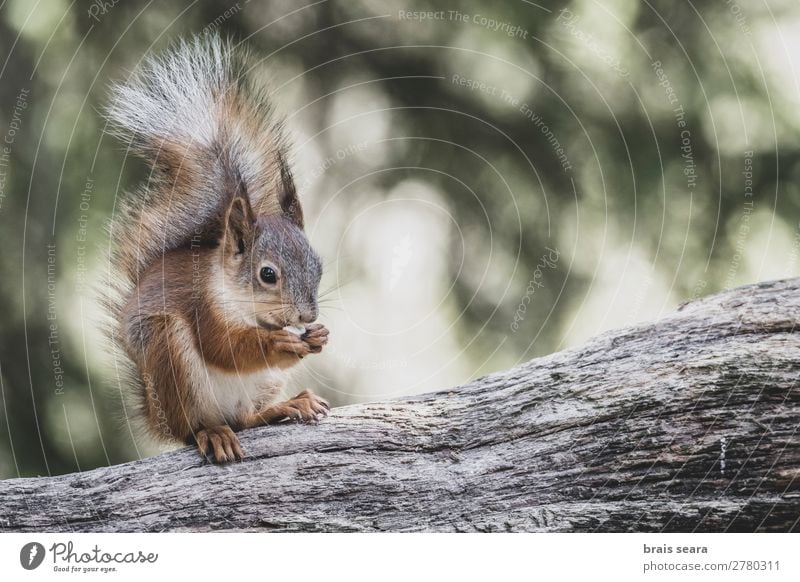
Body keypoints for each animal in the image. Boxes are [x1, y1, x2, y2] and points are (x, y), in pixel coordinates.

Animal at [105, 36, 328, 466]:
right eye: (267, 274)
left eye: (319, 267)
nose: (307, 316)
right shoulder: (200, 305)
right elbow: (223, 347)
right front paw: (278, 343)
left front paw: (319, 336)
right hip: (170, 355)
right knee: (198, 427)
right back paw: (212, 433)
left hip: (260, 386)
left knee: (246, 418)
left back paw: (287, 405)